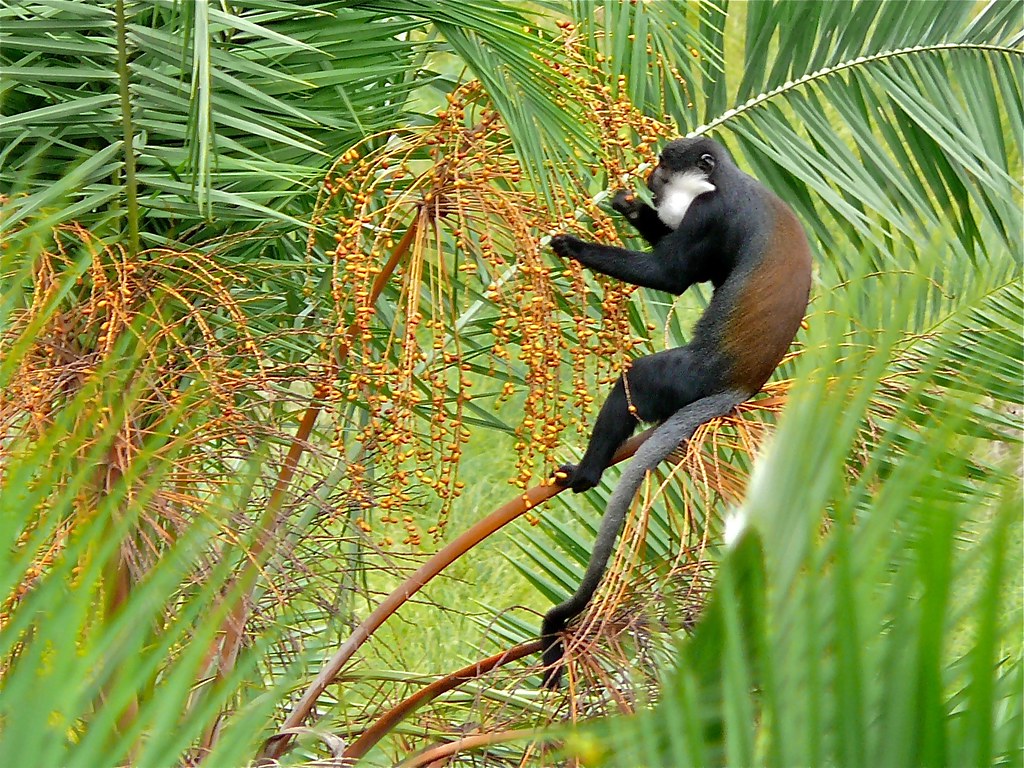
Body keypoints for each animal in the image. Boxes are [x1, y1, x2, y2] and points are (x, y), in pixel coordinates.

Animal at [540, 135, 811, 688]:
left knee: (638, 378)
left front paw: (573, 246)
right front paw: (628, 206)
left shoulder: (709, 214)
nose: (651, 178)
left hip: (685, 378)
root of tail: (739, 387)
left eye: (666, 166)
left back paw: (587, 473)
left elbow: (672, 278)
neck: (723, 179)